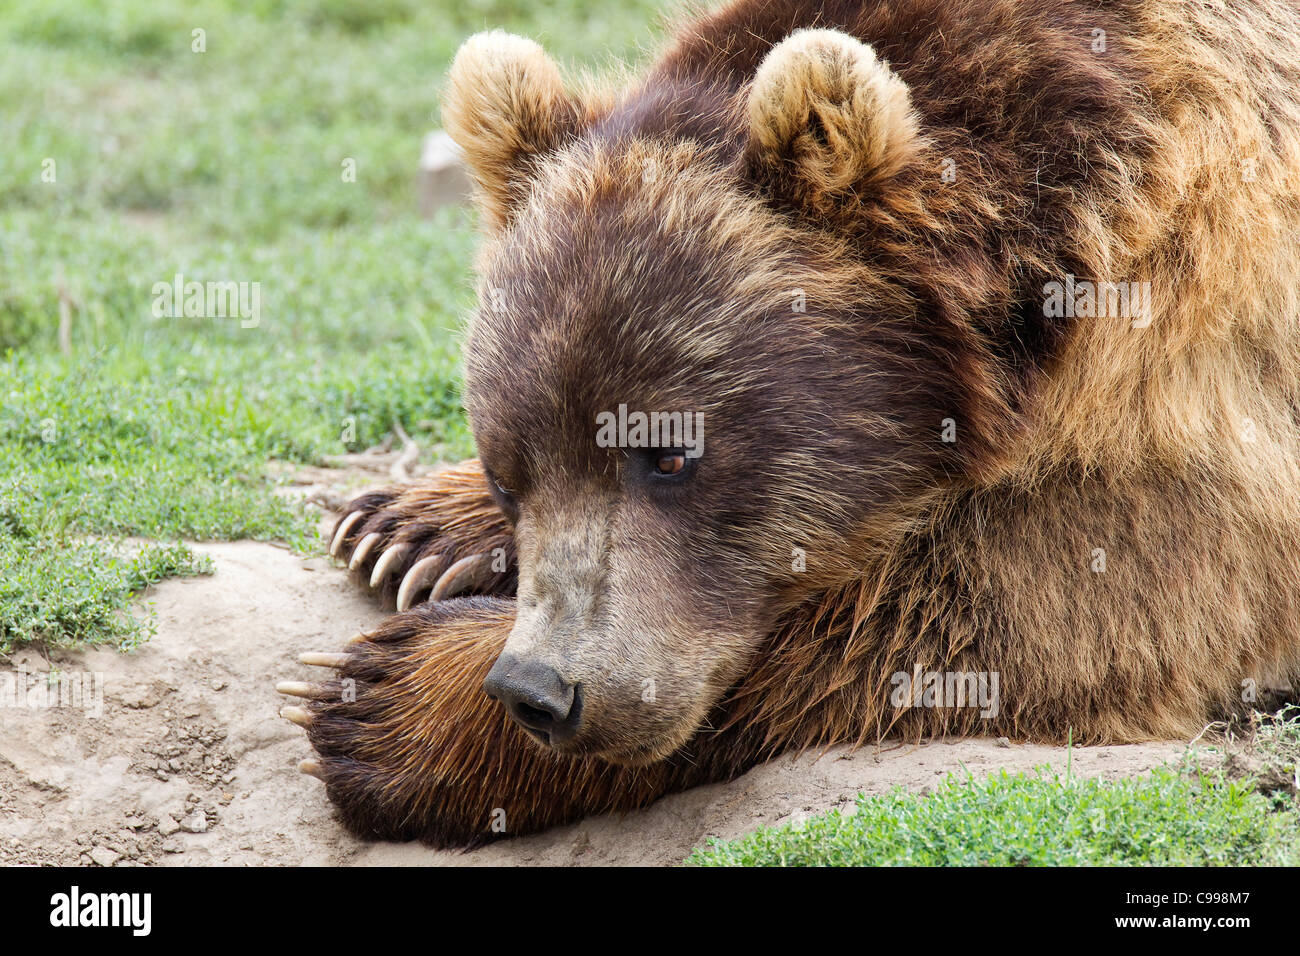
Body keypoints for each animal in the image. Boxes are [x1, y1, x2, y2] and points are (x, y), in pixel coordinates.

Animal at [276, 0, 1300, 853]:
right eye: (505, 470)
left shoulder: (1189, 345)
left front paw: (381, 701)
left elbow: (1037, 604)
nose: (539, 691)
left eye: (670, 453)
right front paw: (405, 529)